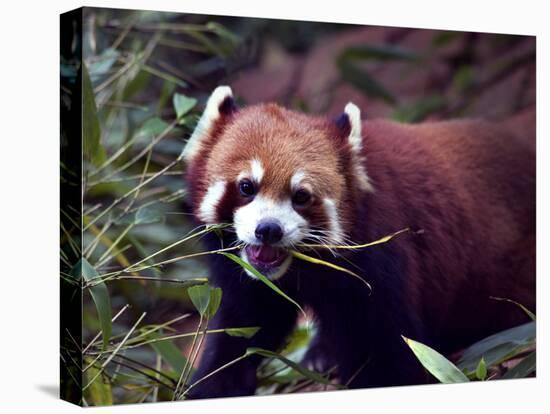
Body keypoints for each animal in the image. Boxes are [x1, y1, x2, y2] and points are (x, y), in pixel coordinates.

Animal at [183, 85, 536, 398]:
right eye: (247, 187)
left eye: (301, 196)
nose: (268, 229)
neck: (300, 269)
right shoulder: (249, 280)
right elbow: (241, 329)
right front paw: (211, 386)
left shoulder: (379, 260)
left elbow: (387, 350)